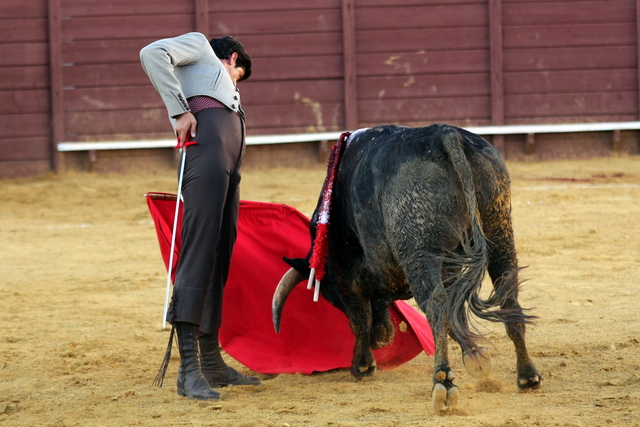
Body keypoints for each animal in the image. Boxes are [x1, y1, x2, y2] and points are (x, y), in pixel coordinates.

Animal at [270, 124, 540, 414]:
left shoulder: (347, 277)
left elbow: (359, 319)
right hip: (498, 228)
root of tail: (445, 134)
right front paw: (476, 357)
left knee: (435, 304)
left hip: (419, 250)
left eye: (331, 297)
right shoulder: (450, 264)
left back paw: (442, 383)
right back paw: (527, 376)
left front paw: (362, 366)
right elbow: (455, 313)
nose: (381, 338)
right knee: (507, 295)